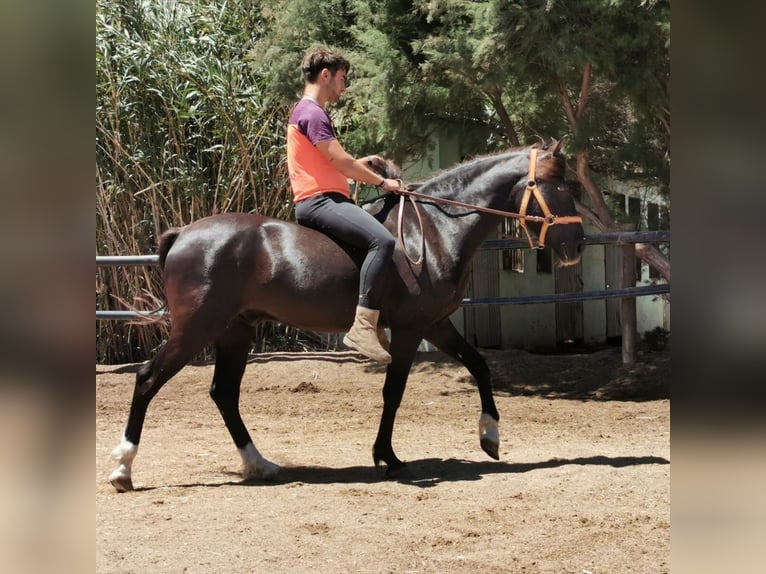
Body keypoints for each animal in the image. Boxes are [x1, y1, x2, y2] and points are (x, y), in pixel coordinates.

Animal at [108, 138, 584, 490]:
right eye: (559, 187)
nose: (577, 244)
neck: (433, 229)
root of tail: (183, 233)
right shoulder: (410, 328)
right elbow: (394, 391)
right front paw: (388, 457)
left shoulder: (435, 323)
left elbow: (480, 365)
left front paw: (490, 436)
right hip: (196, 328)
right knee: (148, 379)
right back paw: (123, 468)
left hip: (234, 332)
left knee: (224, 394)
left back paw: (260, 465)